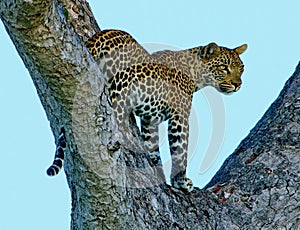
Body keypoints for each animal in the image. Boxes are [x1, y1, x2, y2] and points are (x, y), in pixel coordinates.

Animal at [47, 29, 247, 192]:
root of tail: (102, 36)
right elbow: (180, 151)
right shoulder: (180, 117)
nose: (238, 84)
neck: (196, 73)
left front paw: (160, 176)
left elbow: (153, 148)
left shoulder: (150, 120)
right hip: (119, 92)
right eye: (224, 68)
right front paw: (181, 183)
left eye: (241, 69)